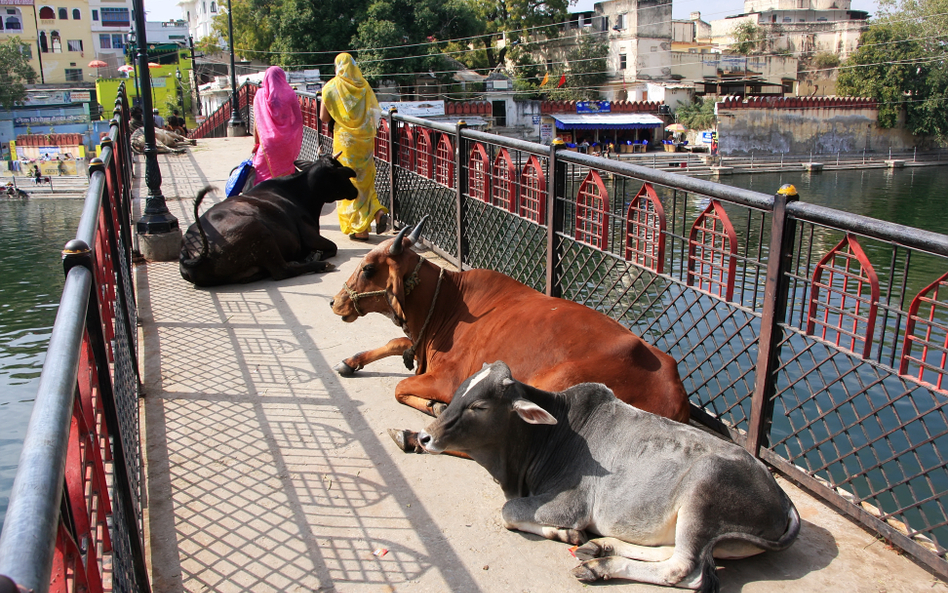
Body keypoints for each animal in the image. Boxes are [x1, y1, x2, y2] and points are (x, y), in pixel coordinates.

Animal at [180, 155, 358, 286]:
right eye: (339, 172)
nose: (355, 190)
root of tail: (188, 250)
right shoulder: (309, 235)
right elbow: (333, 247)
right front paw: (314, 256)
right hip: (259, 232)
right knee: (281, 271)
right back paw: (318, 265)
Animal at [330, 219, 684, 448]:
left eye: (368, 269)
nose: (335, 301)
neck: (443, 305)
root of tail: (674, 392)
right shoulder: (420, 347)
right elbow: (396, 342)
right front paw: (350, 361)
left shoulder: (447, 378)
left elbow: (400, 387)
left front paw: (435, 406)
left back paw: (412, 436)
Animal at [418, 360, 796, 592]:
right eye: (459, 391)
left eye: (478, 406)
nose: (424, 437)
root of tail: (783, 499)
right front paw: (572, 537)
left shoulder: (570, 504)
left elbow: (509, 512)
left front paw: (566, 533)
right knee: (671, 552)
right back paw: (601, 546)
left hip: (703, 492)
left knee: (686, 569)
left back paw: (601, 565)